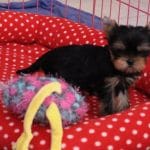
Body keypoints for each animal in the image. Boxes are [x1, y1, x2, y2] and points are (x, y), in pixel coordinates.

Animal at [16, 18, 150, 115]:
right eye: (119, 50)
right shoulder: (107, 84)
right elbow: (108, 101)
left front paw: (122, 110)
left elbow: (122, 97)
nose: (130, 61)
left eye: (141, 52)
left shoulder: (121, 83)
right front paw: (108, 114)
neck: (114, 64)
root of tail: (46, 56)